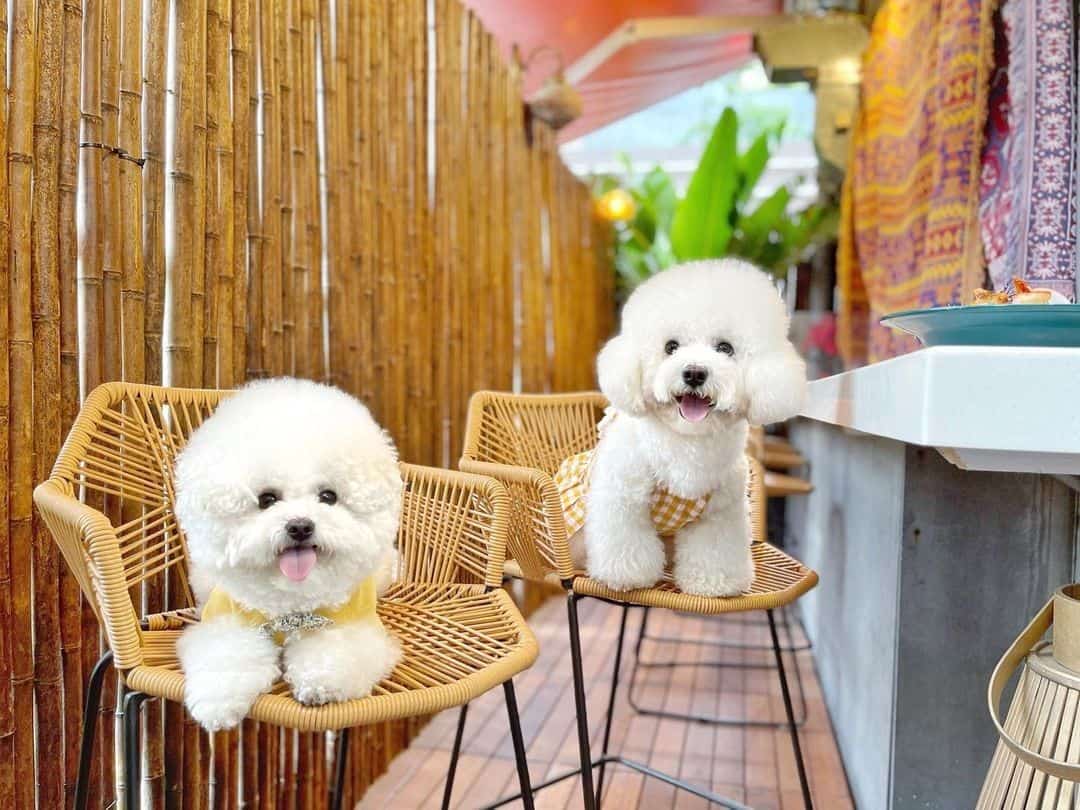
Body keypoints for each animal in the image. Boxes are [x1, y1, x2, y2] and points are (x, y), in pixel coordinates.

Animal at [173, 378, 401, 734]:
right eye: (267, 499)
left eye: (328, 496)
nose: (300, 526)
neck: (290, 602)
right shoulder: (227, 620)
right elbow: (227, 656)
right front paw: (218, 702)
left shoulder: (351, 627)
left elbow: (334, 653)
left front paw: (320, 683)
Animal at [565, 258, 803, 596]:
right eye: (671, 346)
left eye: (725, 348)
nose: (694, 373)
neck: (688, 441)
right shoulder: (622, 497)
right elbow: (626, 542)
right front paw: (628, 577)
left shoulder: (719, 513)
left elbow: (713, 551)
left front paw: (714, 583)